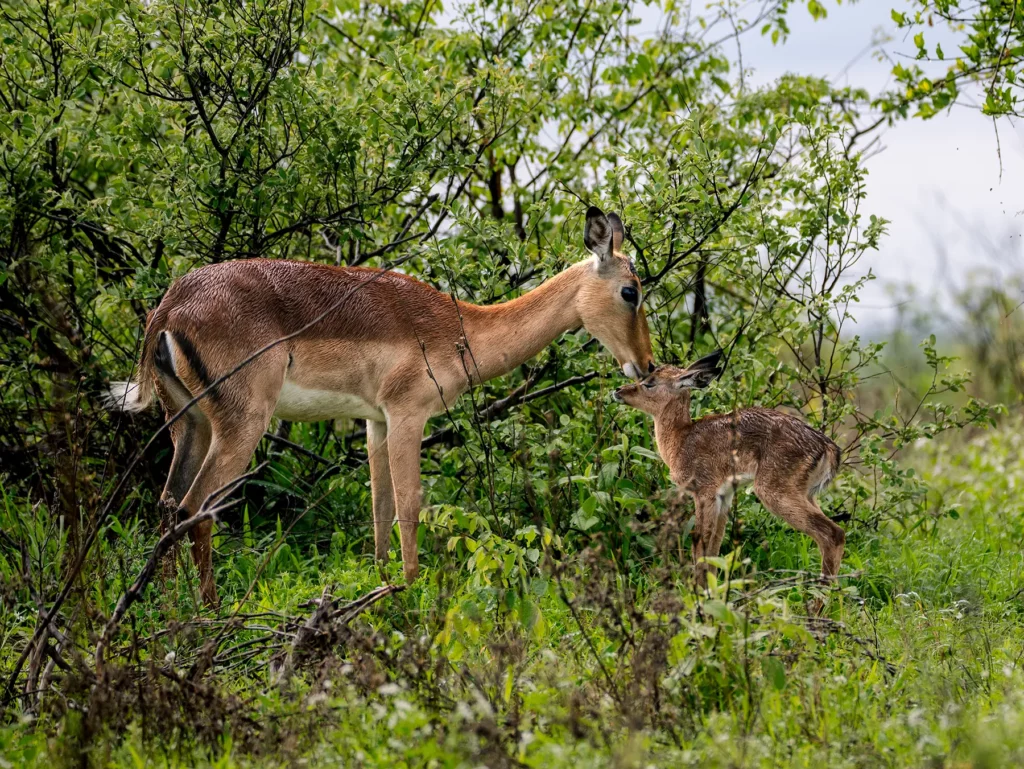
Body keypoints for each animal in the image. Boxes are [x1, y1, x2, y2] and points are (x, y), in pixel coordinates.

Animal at [105, 207, 655, 605]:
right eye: (631, 290)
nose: (646, 365)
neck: (459, 328)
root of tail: (171, 307)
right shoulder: (408, 414)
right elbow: (410, 505)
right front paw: (410, 589)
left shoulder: (375, 423)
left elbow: (379, 507)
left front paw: (382, 580)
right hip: (241, 425)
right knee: (196, 509)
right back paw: (209, 610)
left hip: (189, 424)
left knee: (167, 503)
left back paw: (165, 607)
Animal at [613, 352, 844, 591]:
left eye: (650, 383)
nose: (618, 390)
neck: (680, 440)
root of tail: (828, 448)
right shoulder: (724, 496)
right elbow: (714, 546)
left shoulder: (704, 492)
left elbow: (701, 543)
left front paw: (700, 591)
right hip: (807, 494)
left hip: (774, 491)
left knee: (833, 533)